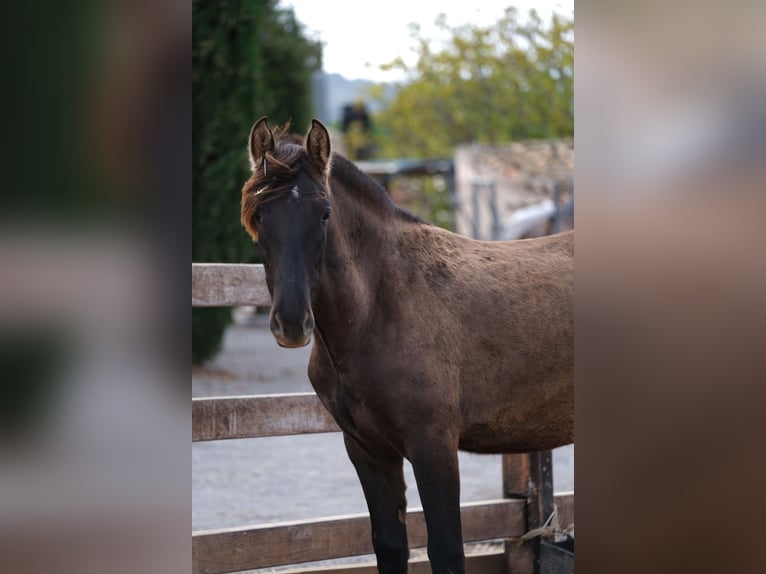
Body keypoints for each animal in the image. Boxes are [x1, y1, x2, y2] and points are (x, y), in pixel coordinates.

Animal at [243, 117, 572, 574]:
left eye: (325, 213)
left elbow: (446, 550)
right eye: (259, 215)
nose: (291, 324)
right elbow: (390, 545)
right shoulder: (368, 450)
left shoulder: (433, 447)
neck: (382, 307)